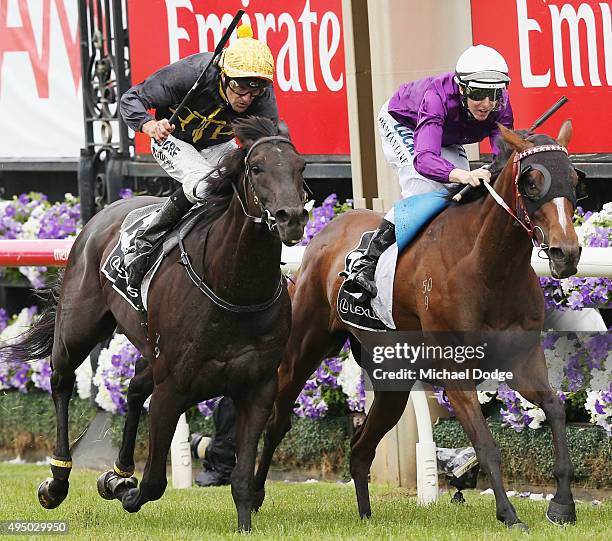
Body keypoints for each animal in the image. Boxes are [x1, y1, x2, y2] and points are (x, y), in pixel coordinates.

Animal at [0, 116, 306, 528]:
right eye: (257, 168)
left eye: (300, 167)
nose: (292, 218)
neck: (234, 288)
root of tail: (104, 212)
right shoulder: (173, 389)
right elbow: (154, 483)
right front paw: (126, 492)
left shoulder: (257, 388)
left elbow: (241, 478)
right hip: (78, 330)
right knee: (61, 382)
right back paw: (58, 480)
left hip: (149, 347)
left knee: (133, 386)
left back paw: (118, 470)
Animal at [253, 121, 584, 528]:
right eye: (532, 182)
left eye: (574, 179)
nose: (566, 253)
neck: (489, 267)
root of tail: (326, 232)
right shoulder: (454, 370)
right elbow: (486, 443)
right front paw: (509, 515)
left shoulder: (524, 359)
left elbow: (554, 409)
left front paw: (562, 504)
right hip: (304, 348)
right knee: (278, 422)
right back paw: (253, 496)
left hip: (391, 378)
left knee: (361, 447)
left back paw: (366, 514)